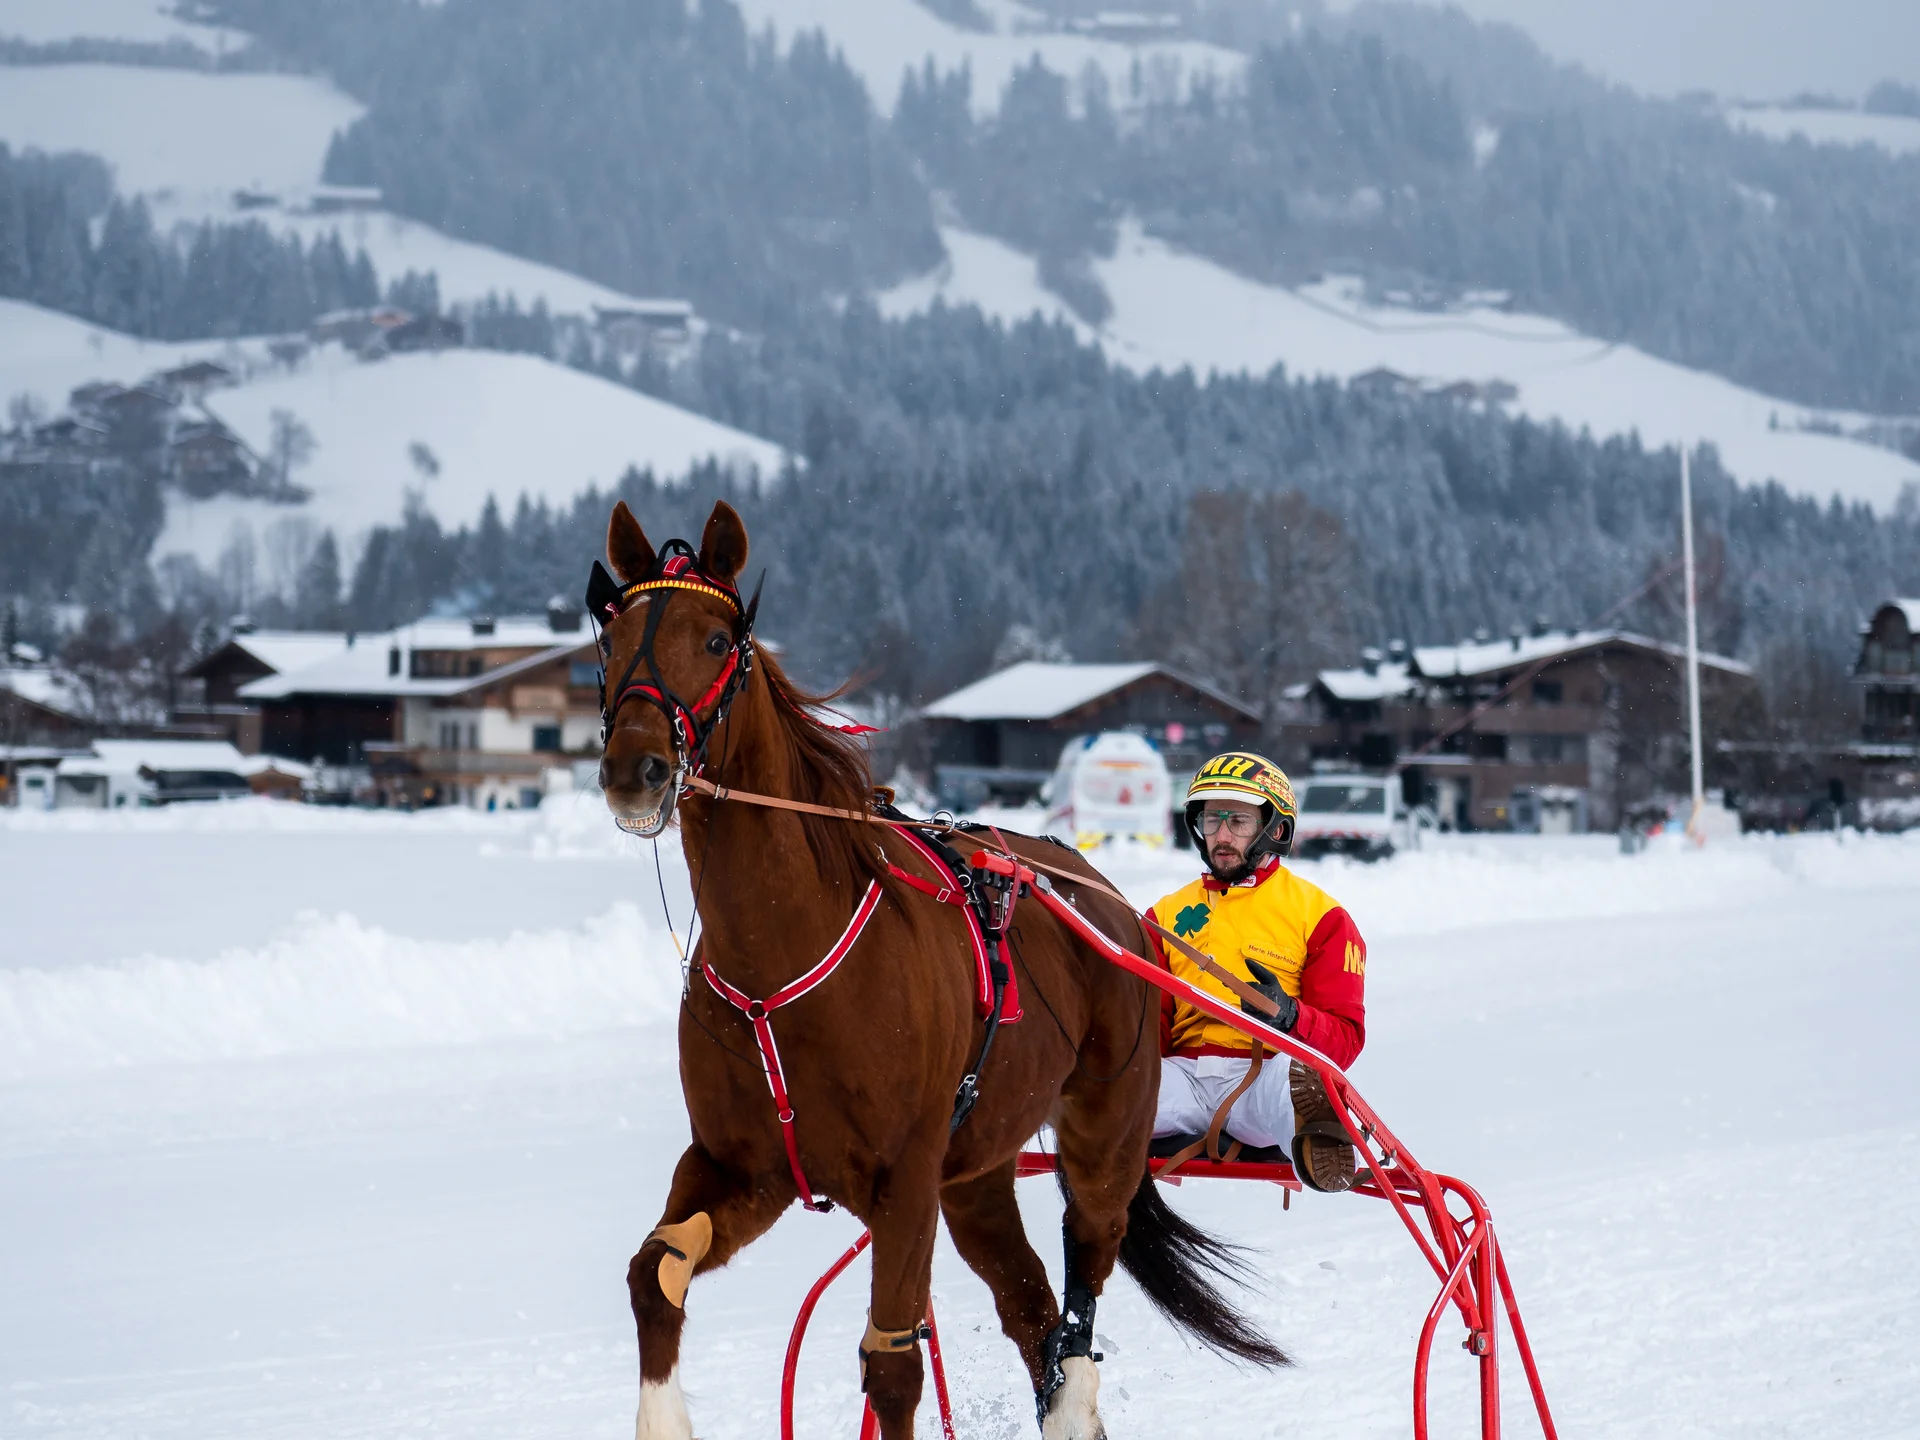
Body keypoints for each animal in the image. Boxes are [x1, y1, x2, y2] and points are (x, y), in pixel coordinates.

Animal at [594, 499, 1285, 1440]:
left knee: (1078, 1305)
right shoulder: (744, 1167)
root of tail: (1107, 900)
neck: (784, 959)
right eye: (610, 637)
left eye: (714, 639)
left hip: (1104, 1135)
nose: (636, 769)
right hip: (980, 1173)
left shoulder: (905, 1179)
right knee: (1031, 1308)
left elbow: (893, 1367)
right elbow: (653, 1274)